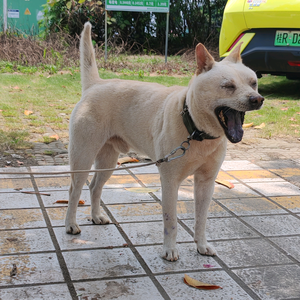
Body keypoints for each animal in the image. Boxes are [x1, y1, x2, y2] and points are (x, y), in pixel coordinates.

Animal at [65, 21, 262, 260]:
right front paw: (169, 249)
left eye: (253, 83)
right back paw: (71, 224)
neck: (196, 132)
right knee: (74, 190)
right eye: (228, 86)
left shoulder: (206, 183)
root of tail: (95, 84)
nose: (258, 99)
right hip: (83, 157)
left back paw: (95, 216)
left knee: (95, 187)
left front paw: (202, 245)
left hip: (108, 161)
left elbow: (202, 219)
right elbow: (171, 221)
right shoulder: (169, 181)